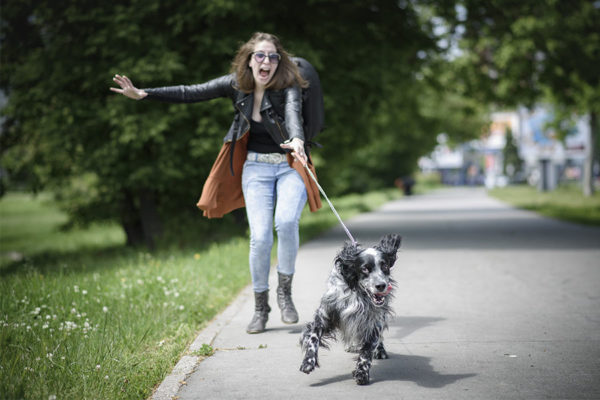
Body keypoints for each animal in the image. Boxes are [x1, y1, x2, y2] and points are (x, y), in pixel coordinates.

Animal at [300, 234, 404, 384]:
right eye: (365, 268)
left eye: (384, 266)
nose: (381, 286)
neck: (358, 294)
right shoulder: (324, 314)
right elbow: (313, 338)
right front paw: (308, 362)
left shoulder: (373, 322)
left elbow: (367, 351)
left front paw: (362, 372)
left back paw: (380, 351)